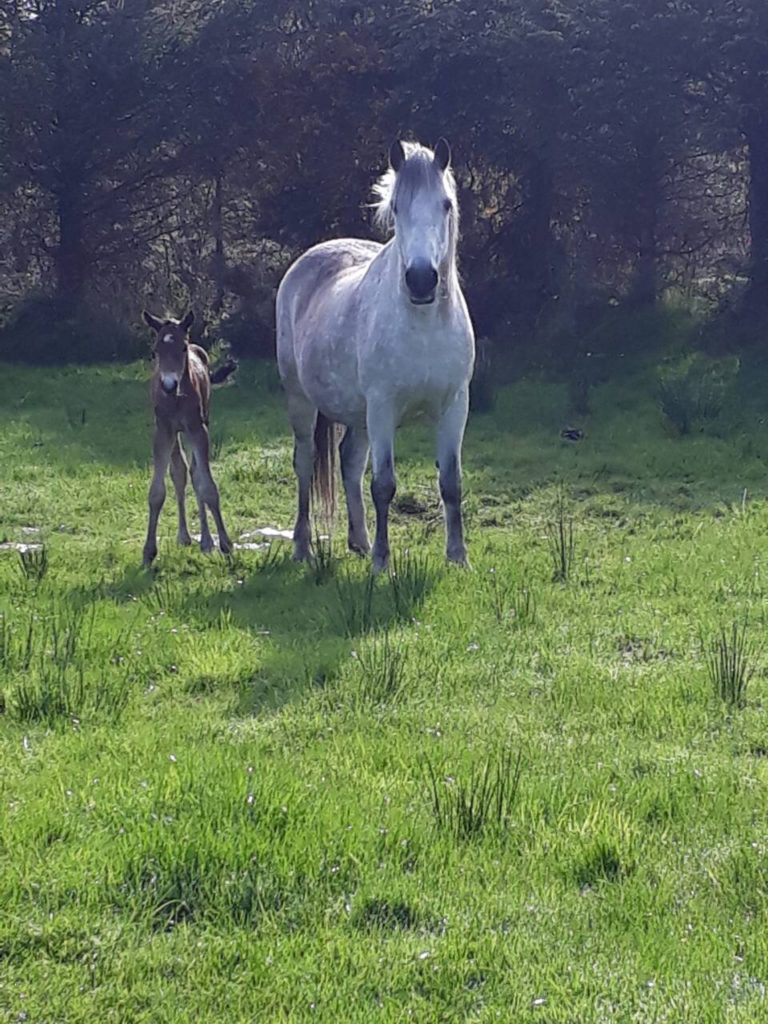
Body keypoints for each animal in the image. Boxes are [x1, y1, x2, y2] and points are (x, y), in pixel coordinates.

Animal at [140, 311, 233, 569]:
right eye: (156, 350)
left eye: (182, 348)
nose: (168, 385)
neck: (176, 398)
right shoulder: (163, 431)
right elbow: (157, 492)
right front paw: (148, 552)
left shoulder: (198, 429)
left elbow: (206, 485)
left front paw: (225, 544)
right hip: (176, 435)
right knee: (180, 473)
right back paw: (184, 536)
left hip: (198, 425)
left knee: (194, 473)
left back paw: (206, 541)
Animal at [276, 139, 475, 573]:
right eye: (397, 206)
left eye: (445, 204)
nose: (421, 279)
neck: (422, 325)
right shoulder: (383, 406)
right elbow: (384, 484)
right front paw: (383, 562)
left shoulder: (455, 405)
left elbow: (451, 482)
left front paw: (458, 557)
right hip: (301, 401)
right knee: (304, 464)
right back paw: (303, 547)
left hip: (359, 414)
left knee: (349, 461)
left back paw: (360, 542)